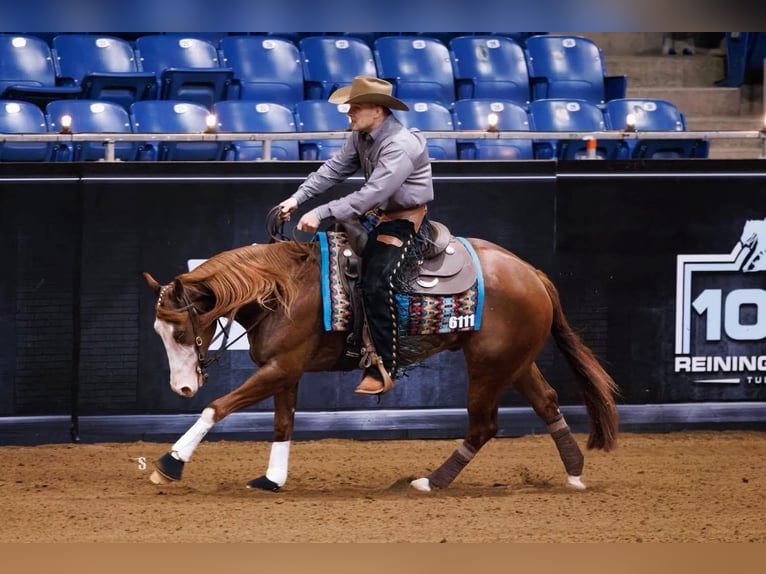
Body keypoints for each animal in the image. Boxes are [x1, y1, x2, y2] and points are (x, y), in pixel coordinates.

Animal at [143, 219, 619, 493]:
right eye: (158, 334)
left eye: (181, 331)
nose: (181, 387)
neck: (284, 290)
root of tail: (531, 272)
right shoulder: (285, 371)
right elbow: (282, 423)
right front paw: (272, 479)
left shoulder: (280, 368)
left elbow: (218, 407)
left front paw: (170, 463)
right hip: (515, 362)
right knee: (548, 403)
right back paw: (574, 473)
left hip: (489, 366)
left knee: (484, 425)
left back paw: (431, 482)